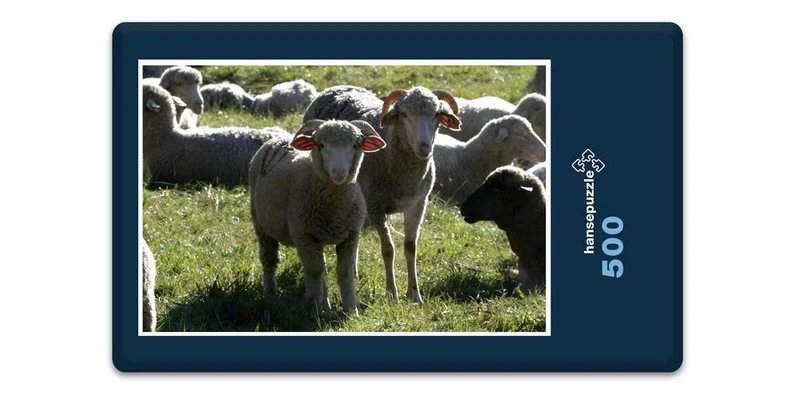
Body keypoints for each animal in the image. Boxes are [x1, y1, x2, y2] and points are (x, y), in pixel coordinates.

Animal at [249, 119, 387, 314]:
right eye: (321, 145)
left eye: (355, 145)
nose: (339, 172)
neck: (334, 208)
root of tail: (278, 137)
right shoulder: (304, 235)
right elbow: (314, 271)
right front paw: (314, 309)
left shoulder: (351, 235)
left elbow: (344, 271)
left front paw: (351, 310)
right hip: (261, 224)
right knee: (269, 259)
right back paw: (270, 293)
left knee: (322, 268)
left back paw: (325, 304)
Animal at [303, 85, 462, 303]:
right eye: (404, 114)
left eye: (437, 114)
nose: (424, 147)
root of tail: (335, 88)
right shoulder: (376, 206)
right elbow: (388, 250)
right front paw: (391, 294)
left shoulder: (418, 204)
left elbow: (410, 247)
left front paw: (414, 294)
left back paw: (353, 272)